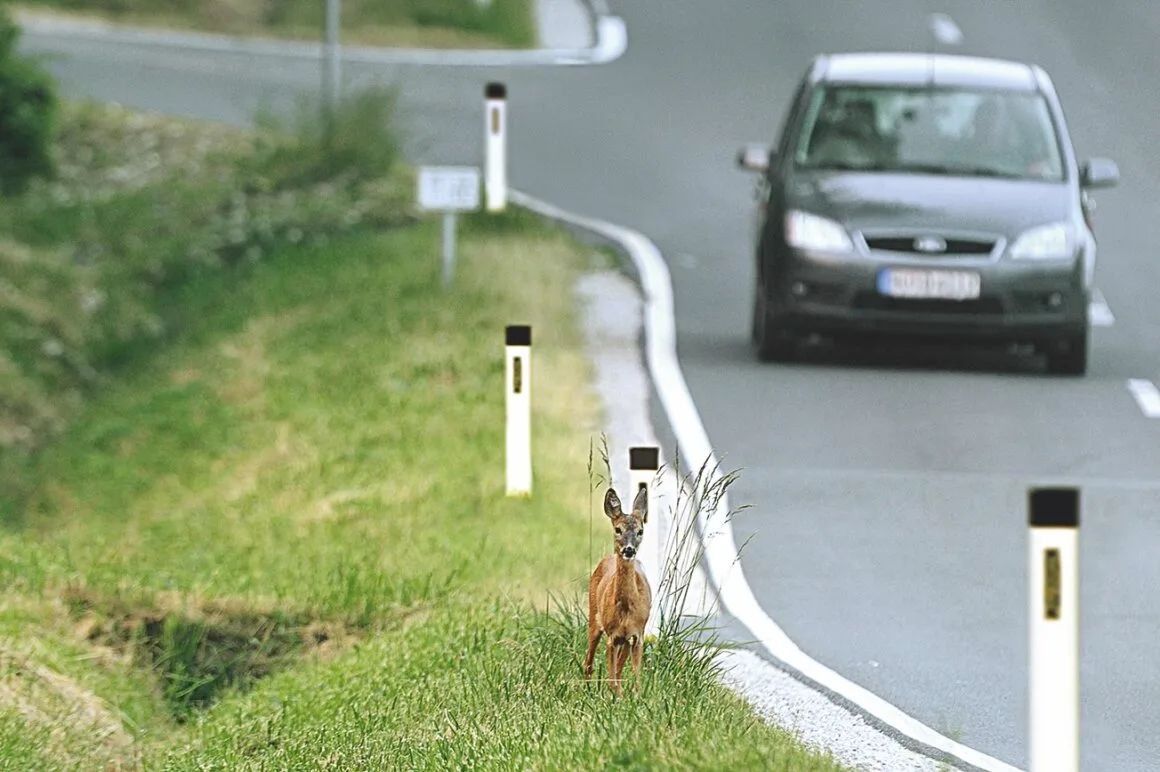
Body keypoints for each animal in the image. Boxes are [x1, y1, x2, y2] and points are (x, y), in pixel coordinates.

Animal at [583, 485, 652, 696]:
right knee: (588, 661)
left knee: (619, 669)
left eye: (640, 531)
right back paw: (587, 690)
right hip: (594, 618)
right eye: (618, 529)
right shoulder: (612, 636)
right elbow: (612, 678)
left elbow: (636, 679)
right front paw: (616, 698)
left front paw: (635, 698)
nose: (629, 550)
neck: (626, 610)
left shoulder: (638, 634)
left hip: (626, 640)